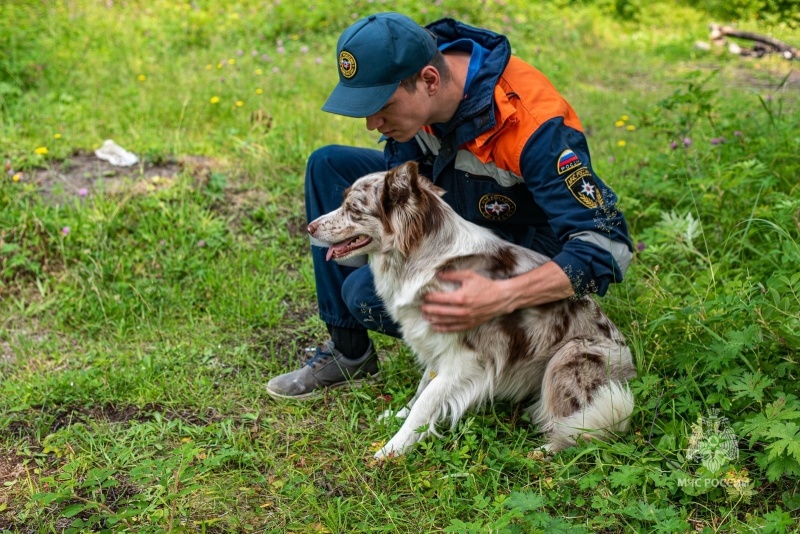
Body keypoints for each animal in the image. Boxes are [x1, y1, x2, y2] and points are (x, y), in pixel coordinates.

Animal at [308, 162, 636, 460]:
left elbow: (428, 400)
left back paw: (542, 451)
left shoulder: (467, 359)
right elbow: (422, 388)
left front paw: (394, 447)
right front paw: (399, 415)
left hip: (568, 356)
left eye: (353, 208)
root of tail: (631, 369)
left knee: (583, 430)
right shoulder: (436, 344)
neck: (423, 258)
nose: (309, 227)